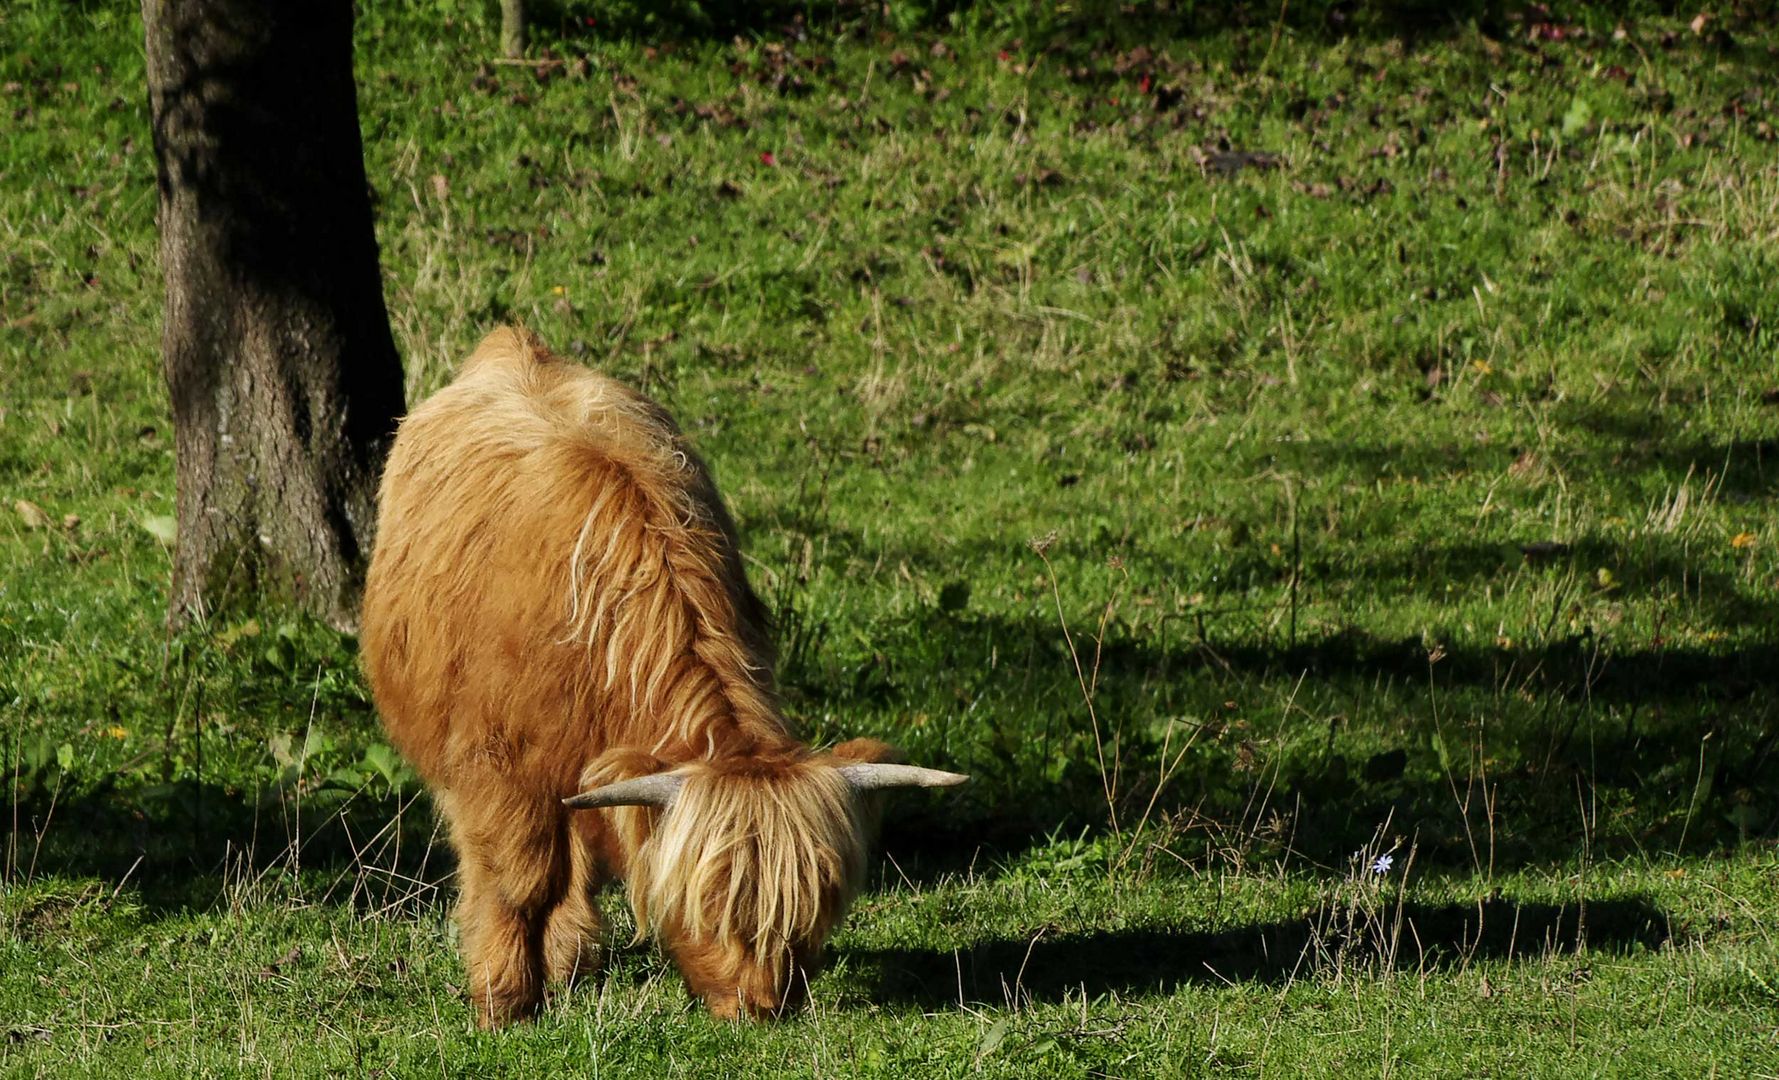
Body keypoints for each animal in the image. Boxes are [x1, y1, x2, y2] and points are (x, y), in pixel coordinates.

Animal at [361, 329, 967, 1031]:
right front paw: (503, 1003)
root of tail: (515, 341)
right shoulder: (498, 770)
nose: (763, 1007)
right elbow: (520, 880)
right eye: (708, 901)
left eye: (815, 906)